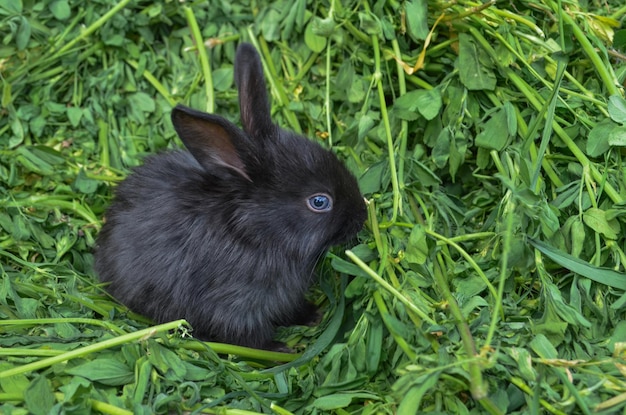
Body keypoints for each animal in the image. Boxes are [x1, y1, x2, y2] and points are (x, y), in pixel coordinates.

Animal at [93, 42, 366, 350]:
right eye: (319, 202)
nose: (362, 215)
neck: (257, 234)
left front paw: (312, 315)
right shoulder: (235, 306)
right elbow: (248, 336)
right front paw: (280, 349)